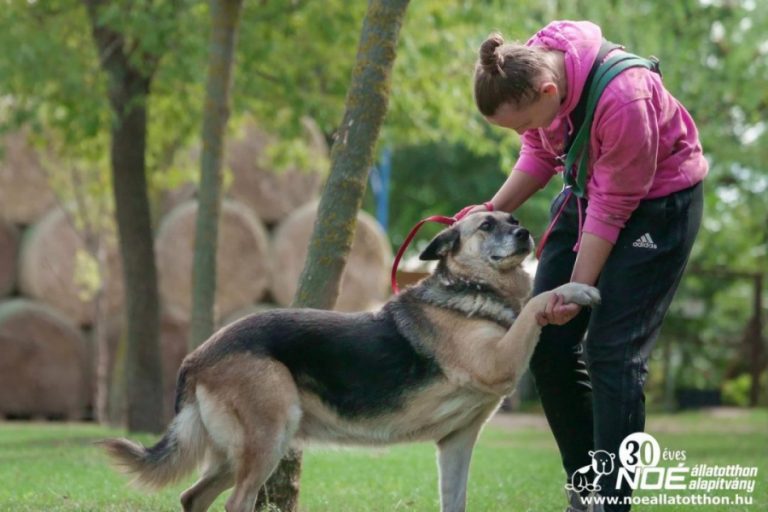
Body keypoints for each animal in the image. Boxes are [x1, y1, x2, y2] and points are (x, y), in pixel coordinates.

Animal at [100, 210, 600, 510]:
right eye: (486, 226)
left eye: (512, 220)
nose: (525, 233)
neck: (471, 289)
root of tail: (198, 355)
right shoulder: (499, 358)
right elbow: (538, 302)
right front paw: (574, 289)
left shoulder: (457, 443)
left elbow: (454, 501)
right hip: (267, 441)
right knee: (234, 502)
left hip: (237, 451)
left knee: (192, 497)